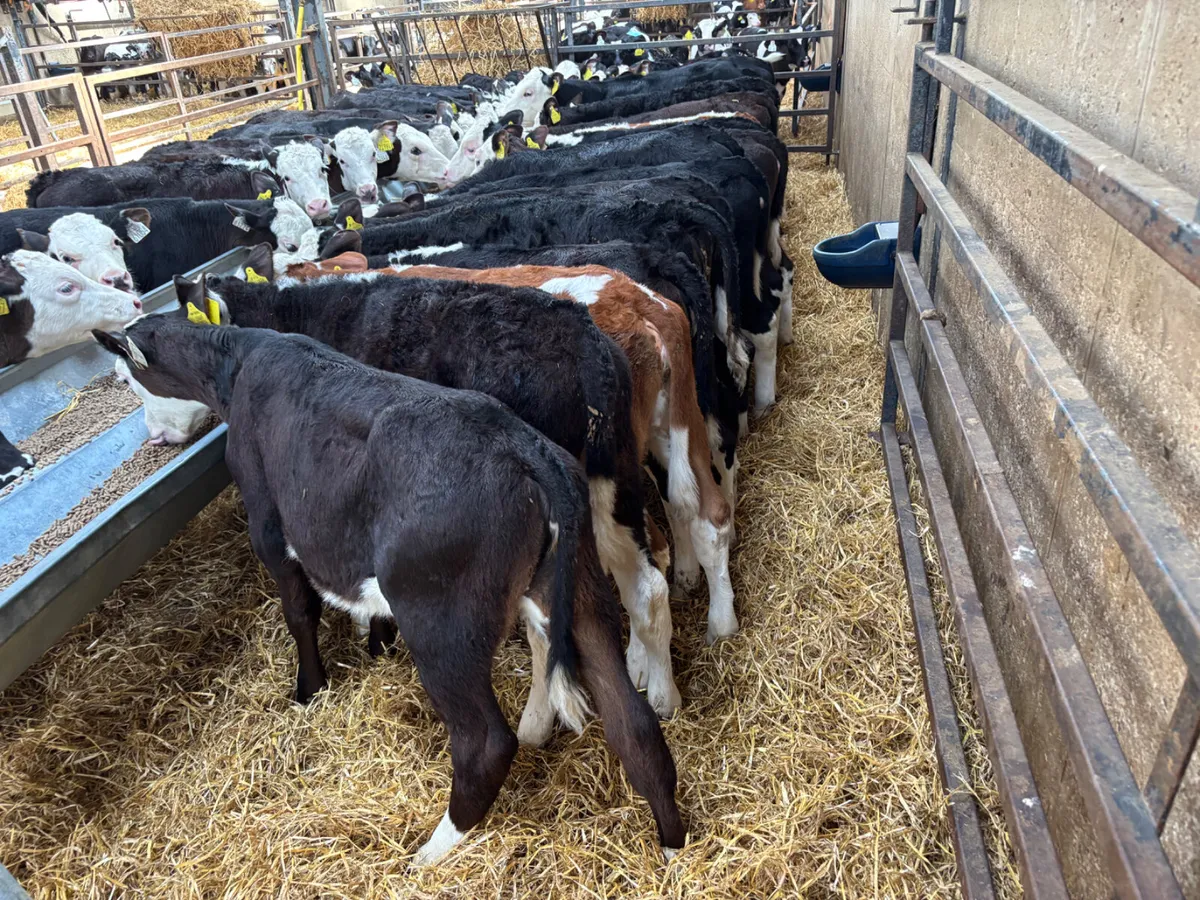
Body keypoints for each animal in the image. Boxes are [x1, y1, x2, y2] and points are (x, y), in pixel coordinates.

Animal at [92, 314, 686, 865]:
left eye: (126, 376)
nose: (151, 436)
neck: (238, 360)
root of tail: (528, 452)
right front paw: (375, 644)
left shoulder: (268, 522)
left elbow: (299, 609)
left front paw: (309, 688)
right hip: (582, 590)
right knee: (632, 722)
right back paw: (672, 846)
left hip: (441, 622)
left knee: (486, 743)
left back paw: (431, 851)